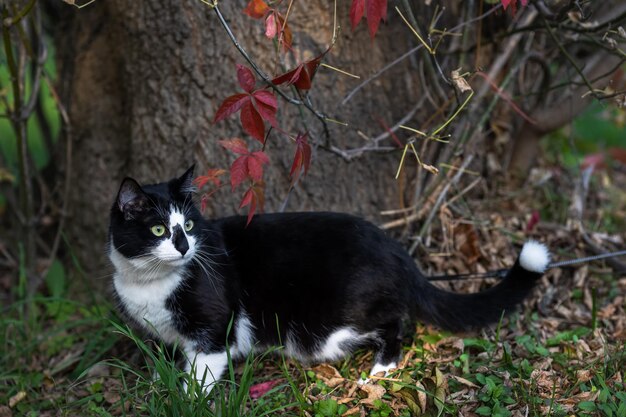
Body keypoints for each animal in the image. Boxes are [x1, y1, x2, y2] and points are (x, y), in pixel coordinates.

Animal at [109, 165, 548, 390]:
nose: (185, 248)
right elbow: (173, 356)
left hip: (328, 327)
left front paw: (190, 398)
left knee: (394, 323)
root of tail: (399, 253)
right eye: (158, 230)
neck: (150, 282)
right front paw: (165, 377)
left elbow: (201, 370)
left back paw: (382, 368)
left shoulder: (217, 325)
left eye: (188, 225)